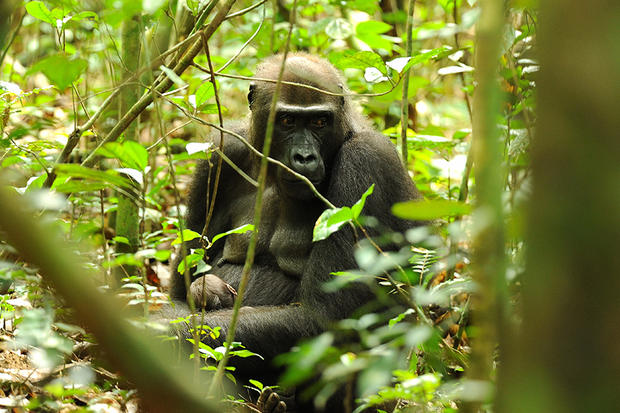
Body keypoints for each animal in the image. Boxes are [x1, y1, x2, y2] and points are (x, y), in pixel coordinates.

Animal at [166, 53, 422, 410]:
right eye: (286, 121)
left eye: (319, 122)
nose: (303, 157)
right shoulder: (220, 154)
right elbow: (180, 285)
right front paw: (200, 292)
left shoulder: (366, 160)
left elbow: (324, 318)